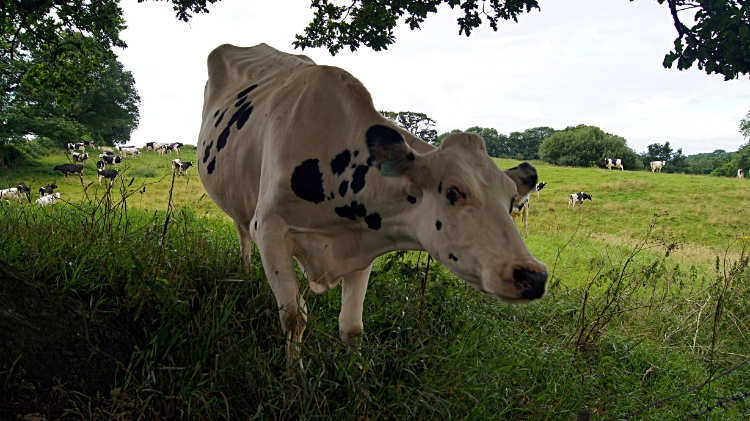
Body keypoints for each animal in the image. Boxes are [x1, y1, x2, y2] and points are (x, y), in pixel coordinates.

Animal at [197, 41, 548, 364]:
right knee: (243, 236)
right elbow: (294, 318)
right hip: (241, 208)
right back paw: (245, 273)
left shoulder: (362, 240)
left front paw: (353, 377)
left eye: (512, 200)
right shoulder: (270, 230)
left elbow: (352, 327)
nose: (534, 276)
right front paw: (292, 379)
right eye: (452, 191)